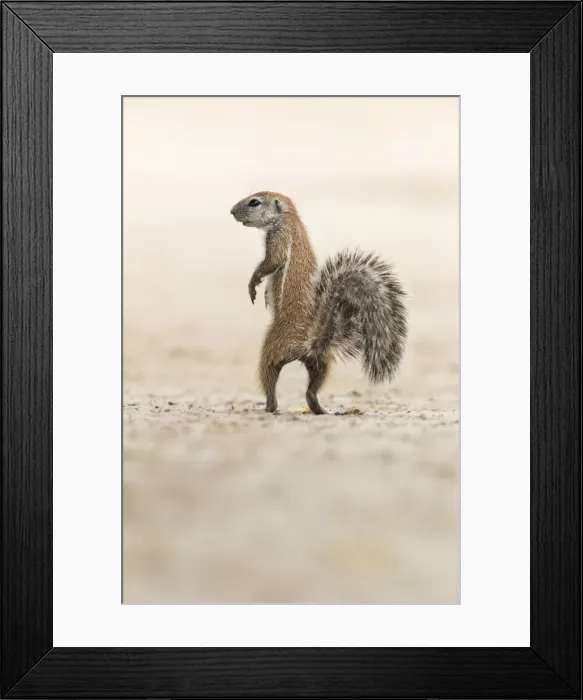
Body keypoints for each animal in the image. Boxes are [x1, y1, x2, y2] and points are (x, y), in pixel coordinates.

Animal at [229, 191, 408, 415]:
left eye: (255, 202)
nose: (232, 212)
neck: (289, 218)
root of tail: (312, 339)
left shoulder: (279, 239)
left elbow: (270, 263)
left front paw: (254, 284)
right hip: (320, 362)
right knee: (311, 390)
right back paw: (322, 410)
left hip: (272, 347)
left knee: (270, 375)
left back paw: (268, 407)